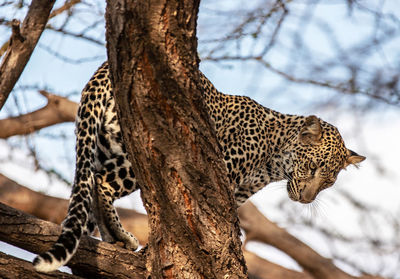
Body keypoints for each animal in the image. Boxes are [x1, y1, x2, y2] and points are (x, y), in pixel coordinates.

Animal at [33, 63, 366, 274]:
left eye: (329, 182)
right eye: (312, 167)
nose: (307, 199)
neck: (272, 160)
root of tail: (103, 70)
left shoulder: (238, 190)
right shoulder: (223, 171)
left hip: (99, 147)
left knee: (87, 194)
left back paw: (113, 240)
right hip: (136, 149)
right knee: (101, 182)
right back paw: (121, 236)